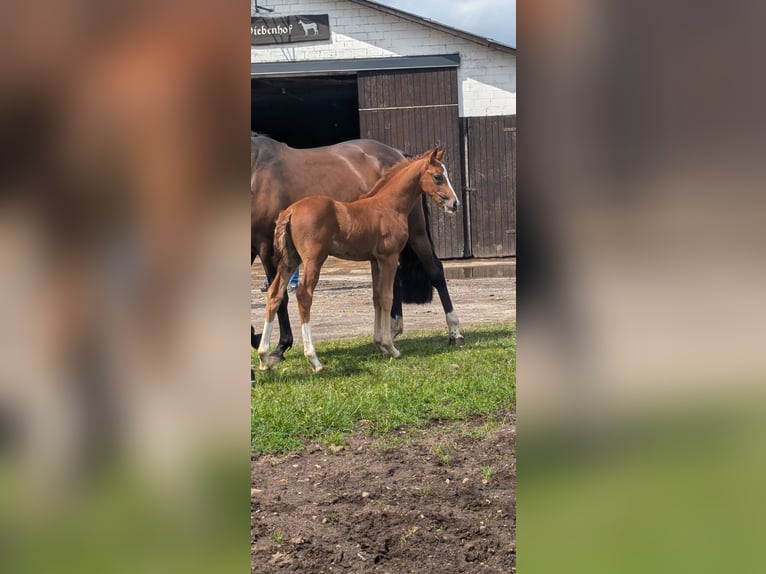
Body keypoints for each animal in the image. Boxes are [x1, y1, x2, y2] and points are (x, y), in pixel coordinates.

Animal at [251, 134, 465, 368]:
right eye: (437, 177)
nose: (455, 203)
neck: (387, 204)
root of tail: (290, 211)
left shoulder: (377, 259)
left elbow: (378, 296)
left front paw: (381, 343)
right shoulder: (388, 258)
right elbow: (385, 296)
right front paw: (389, 347)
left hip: (292, 259)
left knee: (275, 293)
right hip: (310, 259)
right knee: (302, 295)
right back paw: (312, 359)